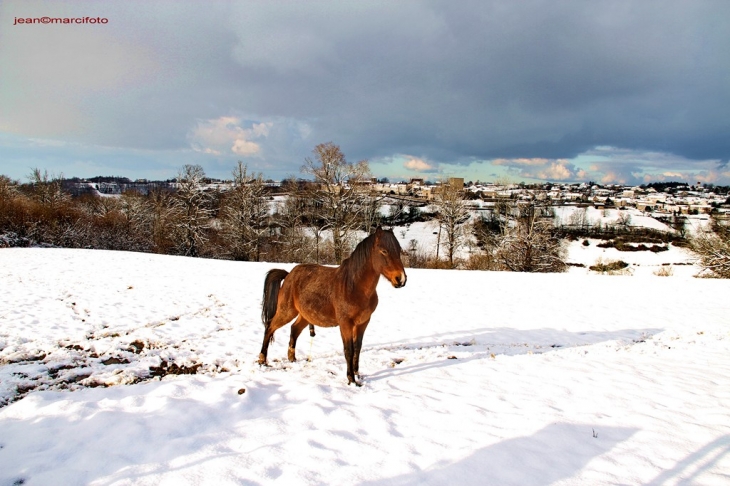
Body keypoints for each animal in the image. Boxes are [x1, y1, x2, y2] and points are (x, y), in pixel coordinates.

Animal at [258, 228, 406, 388]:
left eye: (399, 250)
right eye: (384, 251)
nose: (401, 279)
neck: (354, 287)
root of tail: (289, 275)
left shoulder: (363, 323)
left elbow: (358, 348)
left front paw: (357, 374)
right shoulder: (345, 323)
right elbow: (349, 350)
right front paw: (351, 379)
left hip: (305, 315)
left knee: (294, 329)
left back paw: (292, 359)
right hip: (286, 311)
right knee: (269, 327)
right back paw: (262, 360)